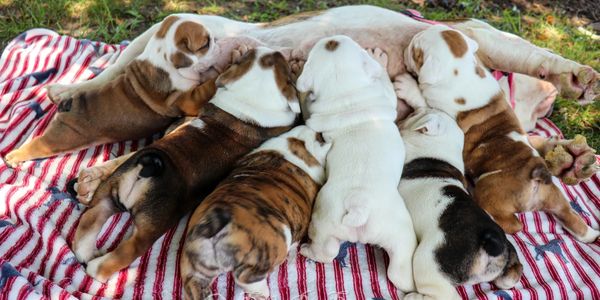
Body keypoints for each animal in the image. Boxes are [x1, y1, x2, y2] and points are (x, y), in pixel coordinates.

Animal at [183, 125, 332, 300]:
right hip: (273, 243)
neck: (296, 144)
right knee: (244, 277)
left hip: (193, 266)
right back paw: (262, 292)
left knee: (194, 285)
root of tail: (215, 225)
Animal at [296, 34, 418, 292]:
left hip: (330, 223)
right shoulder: (384, 96)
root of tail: (358, 204)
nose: (332, 38)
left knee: (330, 252)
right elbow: (385, 82)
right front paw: (379, 58)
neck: (345, 95)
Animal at [396, 24, 596, 243]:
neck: (464, 71)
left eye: (415, 51)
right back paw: (591, 234)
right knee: (569, 215)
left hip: (489, 190)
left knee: (513, 224)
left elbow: (422, 101)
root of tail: (537, 175)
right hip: (554, 197)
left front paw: (406, 86)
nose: (406, 47)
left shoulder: (443, 112)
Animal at [396, 108, 524, 300]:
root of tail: (493, 242)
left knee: (443, 293)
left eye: (414, 115)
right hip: (509, 263)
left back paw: (414, 297)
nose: (414, 109)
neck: (438, 153)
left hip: (429, 260)